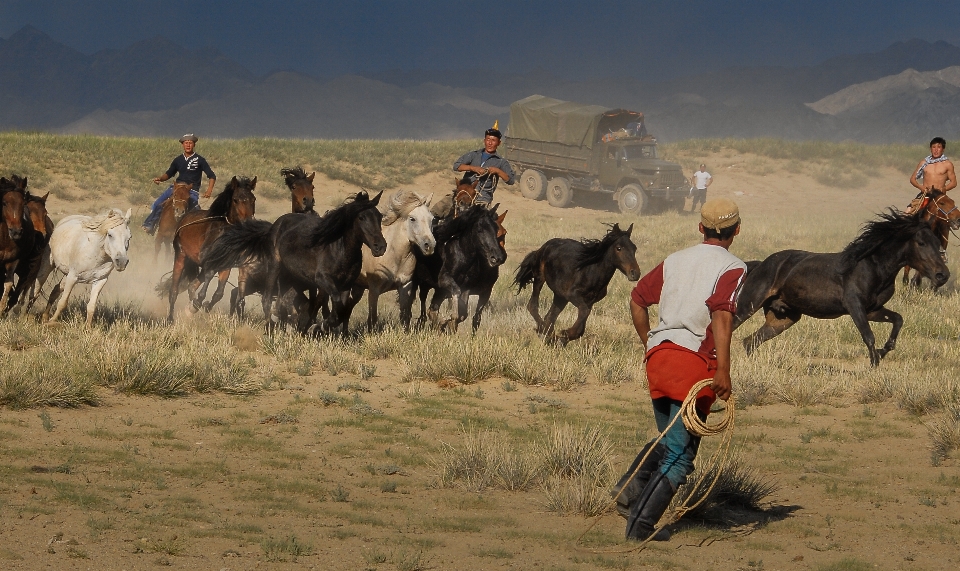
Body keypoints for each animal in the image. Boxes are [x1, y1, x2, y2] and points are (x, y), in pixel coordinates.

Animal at [167, 177, 255, 322]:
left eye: (253, 199)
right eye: (236, 199)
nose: (248, 222)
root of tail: (185, 218)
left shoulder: (226, 266)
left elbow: (219, 293)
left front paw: (204, 306)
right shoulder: (208, 261)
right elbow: (209, 276)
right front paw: (197, 303)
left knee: (192, 286)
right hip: (180, 255)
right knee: (174, 290)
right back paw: (170, 318)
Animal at [262, 192, 386, 336]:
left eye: (380, 217)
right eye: (361, 217)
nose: (380, 247)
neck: (339, 250)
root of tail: (279, 222)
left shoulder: (346, 285)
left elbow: (340, 310)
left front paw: (319, 327)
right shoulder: (323, 280)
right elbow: (335, 303)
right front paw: (318, 326)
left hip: (292, 277)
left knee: (291, 301)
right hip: (275, 266)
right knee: (267, 299)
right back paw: (270, 326)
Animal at [512, 223, 640, 346]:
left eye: (634, 248)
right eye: (619, 248)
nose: (635, 273)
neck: (591, 271)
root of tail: (542, 248)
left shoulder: (590, 302)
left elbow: (582, 326)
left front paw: (564, 338)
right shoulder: (573, 295)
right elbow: (583, 312)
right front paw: (564, 333)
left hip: (560, 296)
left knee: (550, 316)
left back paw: (550, 337)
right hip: (540, 278)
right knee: (532, 306)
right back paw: (544, 331)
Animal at [736, 210, 952, 366]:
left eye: (937, 242)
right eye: (921, 243)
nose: (943, 275)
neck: (873, 267)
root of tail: (760, 264)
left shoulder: (872, 310)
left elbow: (898, 320)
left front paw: (882, 352)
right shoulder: (854, 306)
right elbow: (868, 336)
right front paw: (874, 363)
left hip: (783, 318)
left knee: (750, 341)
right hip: (748, 306)